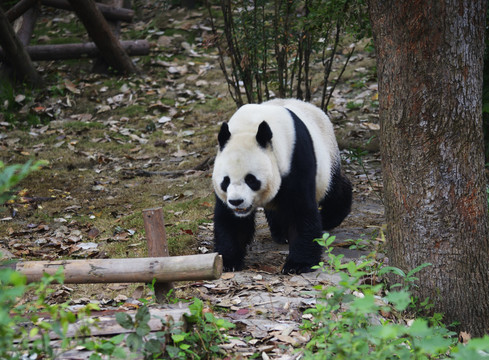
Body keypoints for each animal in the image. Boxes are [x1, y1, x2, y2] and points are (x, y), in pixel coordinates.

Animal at [213, 97, 350, 272]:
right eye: (226, 181)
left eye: (251, 179)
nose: (237, 201)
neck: (250, 127)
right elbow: (231, 220)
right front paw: (228, 262)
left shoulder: (295, 157)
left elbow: (301, 209)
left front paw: (298, 264)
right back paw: (281, 233)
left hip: (327, 157)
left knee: (333, 190)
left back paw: (330, 217)